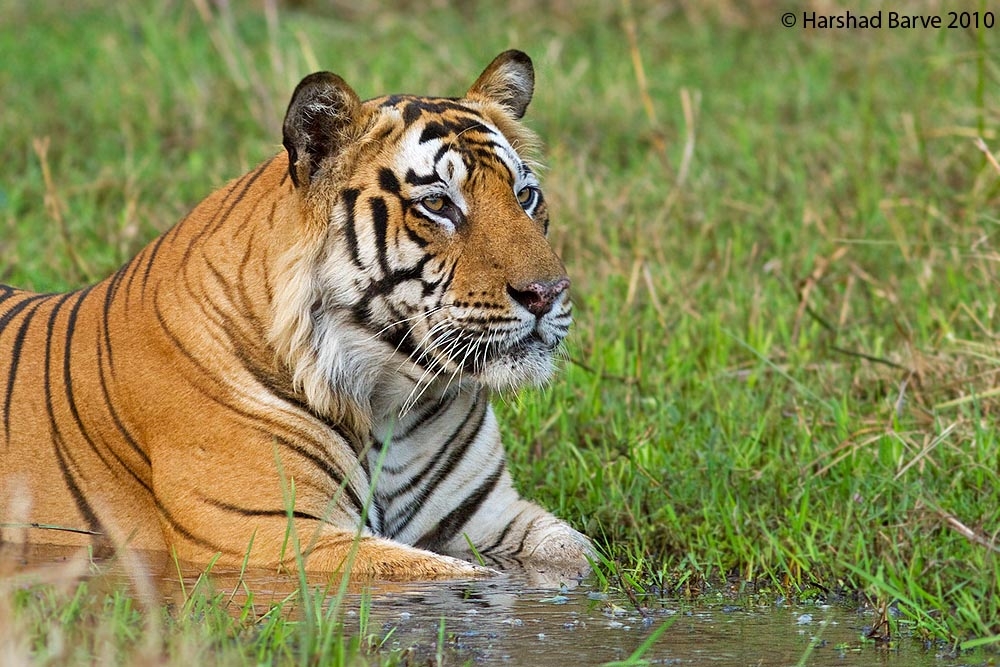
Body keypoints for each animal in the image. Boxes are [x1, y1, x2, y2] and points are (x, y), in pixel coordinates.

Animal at [0, 51, 593, 583]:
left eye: (525, 195)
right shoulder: (270, 533)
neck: (391, 404)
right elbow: (456, 576)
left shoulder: (489, 514)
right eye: (438, 205)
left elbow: (581, 553)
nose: (547, 293)